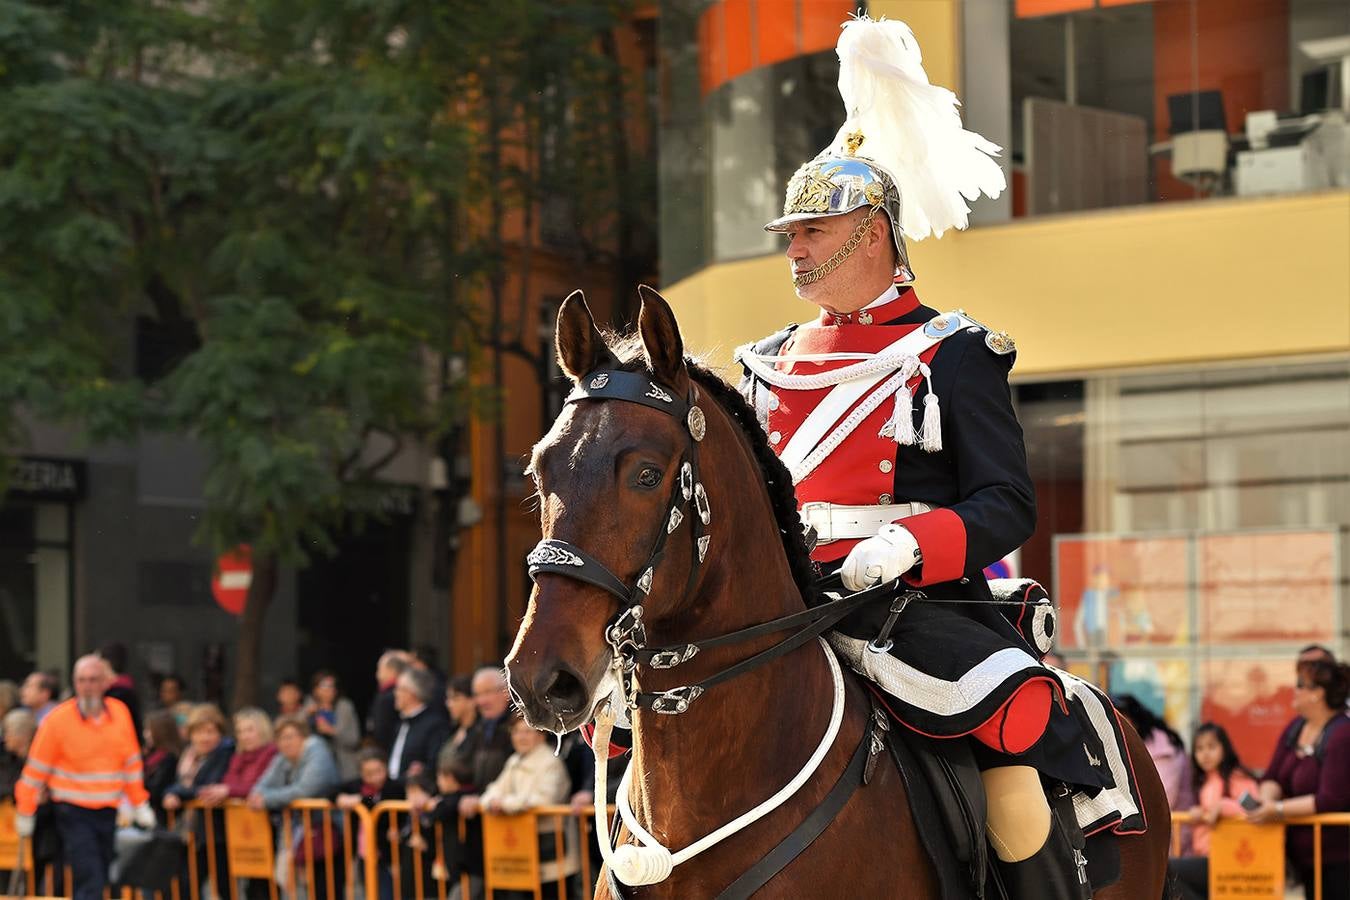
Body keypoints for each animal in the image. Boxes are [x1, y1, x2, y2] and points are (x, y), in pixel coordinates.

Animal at [507, 290, 1171, 900]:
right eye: (540, 469)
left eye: (646, 474)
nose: (541, 678)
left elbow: (1004, 494)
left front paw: (878, 558)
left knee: (1020, 718)